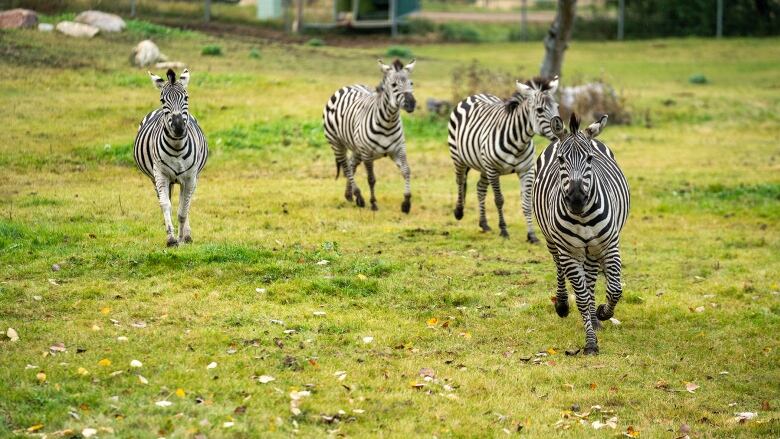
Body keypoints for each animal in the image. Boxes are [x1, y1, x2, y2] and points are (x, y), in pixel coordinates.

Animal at [134, 69, 209, 248]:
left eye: (186, 98)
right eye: (163, 100)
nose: (178, 127)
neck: (177, 147)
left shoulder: (190, 178)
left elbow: (183, 210)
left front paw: (182, 238)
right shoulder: (160, 175)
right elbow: (166, 205)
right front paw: (171, 239)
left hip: (190, 179)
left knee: (186, 203)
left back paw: (187, 235)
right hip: (157, 179)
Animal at [322, 59, 418, 214]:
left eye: (411, 83)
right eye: (393, 85)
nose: (411, 104)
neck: (388, 122)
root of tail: (348, 86)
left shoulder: (399, 149)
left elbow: (406, 171)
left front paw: (406, 203)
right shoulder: (367, 153)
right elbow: (371, 179)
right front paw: (373, 203)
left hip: (356, 147)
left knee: (351, 165)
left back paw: (350, 194)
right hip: (337, 143)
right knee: (346, 168)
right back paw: (359, 197)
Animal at [444, 75, 568, 241]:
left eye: (558, 107)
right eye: (540, 110)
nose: (562, 133)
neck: (519, 142)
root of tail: (475, 95)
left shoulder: (526, 170)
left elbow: (526, 202)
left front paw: (531, 235)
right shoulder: (493, 170)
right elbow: (499, 200)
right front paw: (503, 230)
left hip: (483, 166)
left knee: (480, 188)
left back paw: (484, 224)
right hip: (459, 157)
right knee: (460, 181)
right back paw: (459, 211)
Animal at [532, 113, 632, 354]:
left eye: (589, 159)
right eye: (560, 160)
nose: (576, 199)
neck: (582, 216)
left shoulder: (609, 245)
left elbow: (615, 289)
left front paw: (602, 312)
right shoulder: (570, 252)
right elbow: (582, 298)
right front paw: (590, 343)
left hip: (592, 250)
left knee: (592, 277)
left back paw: (596, 319)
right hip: (553, 241)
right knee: (559, 268)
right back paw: (562, 305)